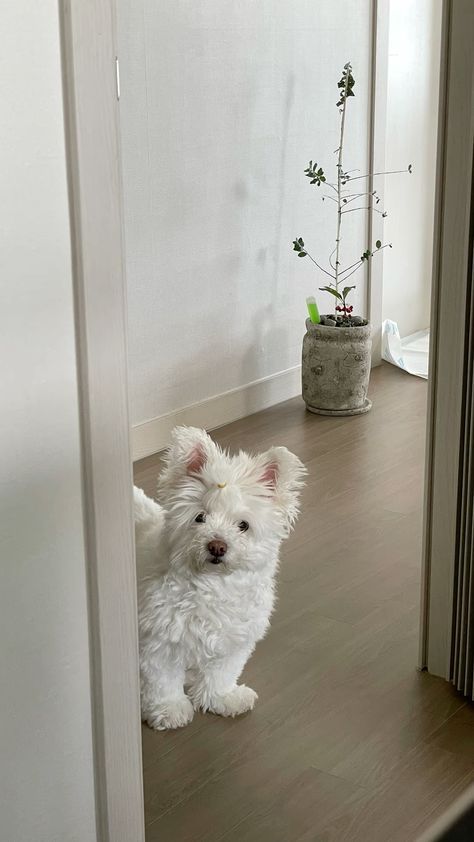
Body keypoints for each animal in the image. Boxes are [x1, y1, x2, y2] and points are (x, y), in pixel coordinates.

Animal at [134, 426, 304, 728]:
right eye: (200, 517)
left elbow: (221, 675)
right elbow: (162, 682)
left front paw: (221, 698)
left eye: (243, 525)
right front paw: (169, 709)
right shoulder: (158, 644)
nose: (217, 546)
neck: (212, 587)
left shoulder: (233, 641)